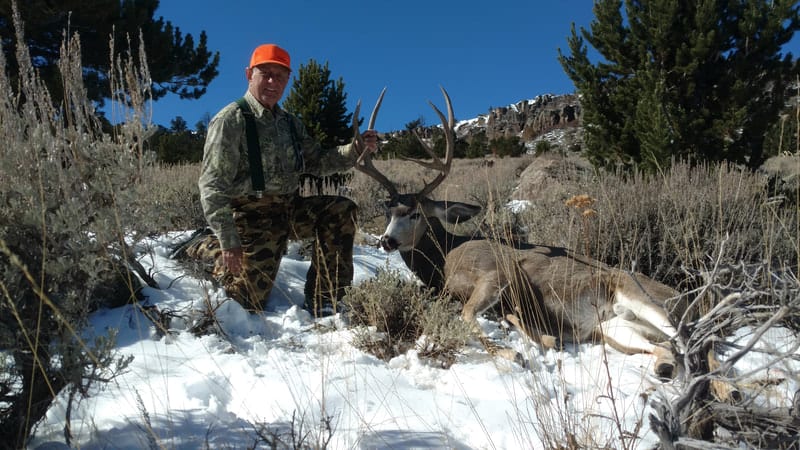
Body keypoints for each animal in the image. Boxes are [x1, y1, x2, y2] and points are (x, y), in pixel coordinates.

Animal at [351, 87, 680, 378]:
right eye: (388, 212)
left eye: (416, 213)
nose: (386, 240)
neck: (444, 258)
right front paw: (540, 339)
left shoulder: (496, 271)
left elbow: (467, 313)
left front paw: (513, 353)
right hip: (616, 328)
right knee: (668, 349)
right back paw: (664, 370)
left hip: (640, 294)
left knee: (682, 339)